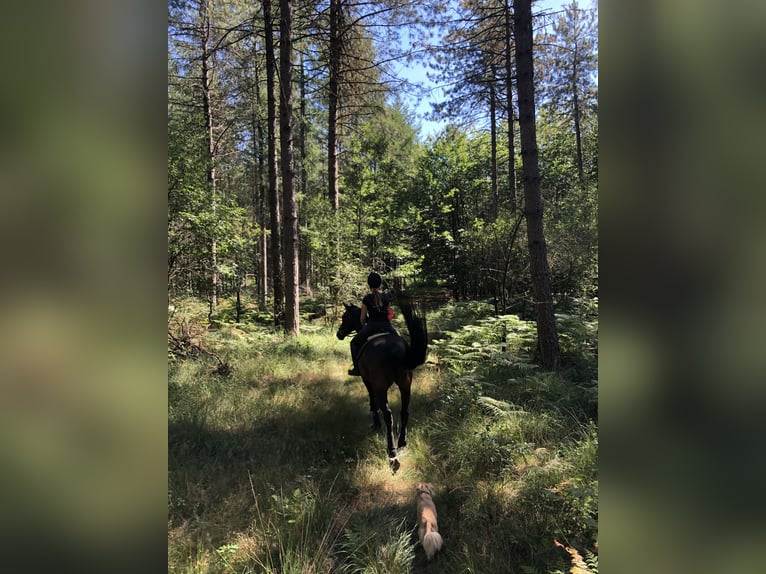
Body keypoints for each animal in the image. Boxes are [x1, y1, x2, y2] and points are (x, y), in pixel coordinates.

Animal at [336, 301, 428, 470]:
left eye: (345, 317)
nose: (339, 334)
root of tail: (394, 350)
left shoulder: (368, 381)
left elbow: (372, 402)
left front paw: (375, 424)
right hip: (406, 385)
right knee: (404, 411)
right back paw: (402, 441)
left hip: (381, 387)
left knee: (388, 415)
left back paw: (392, 450)